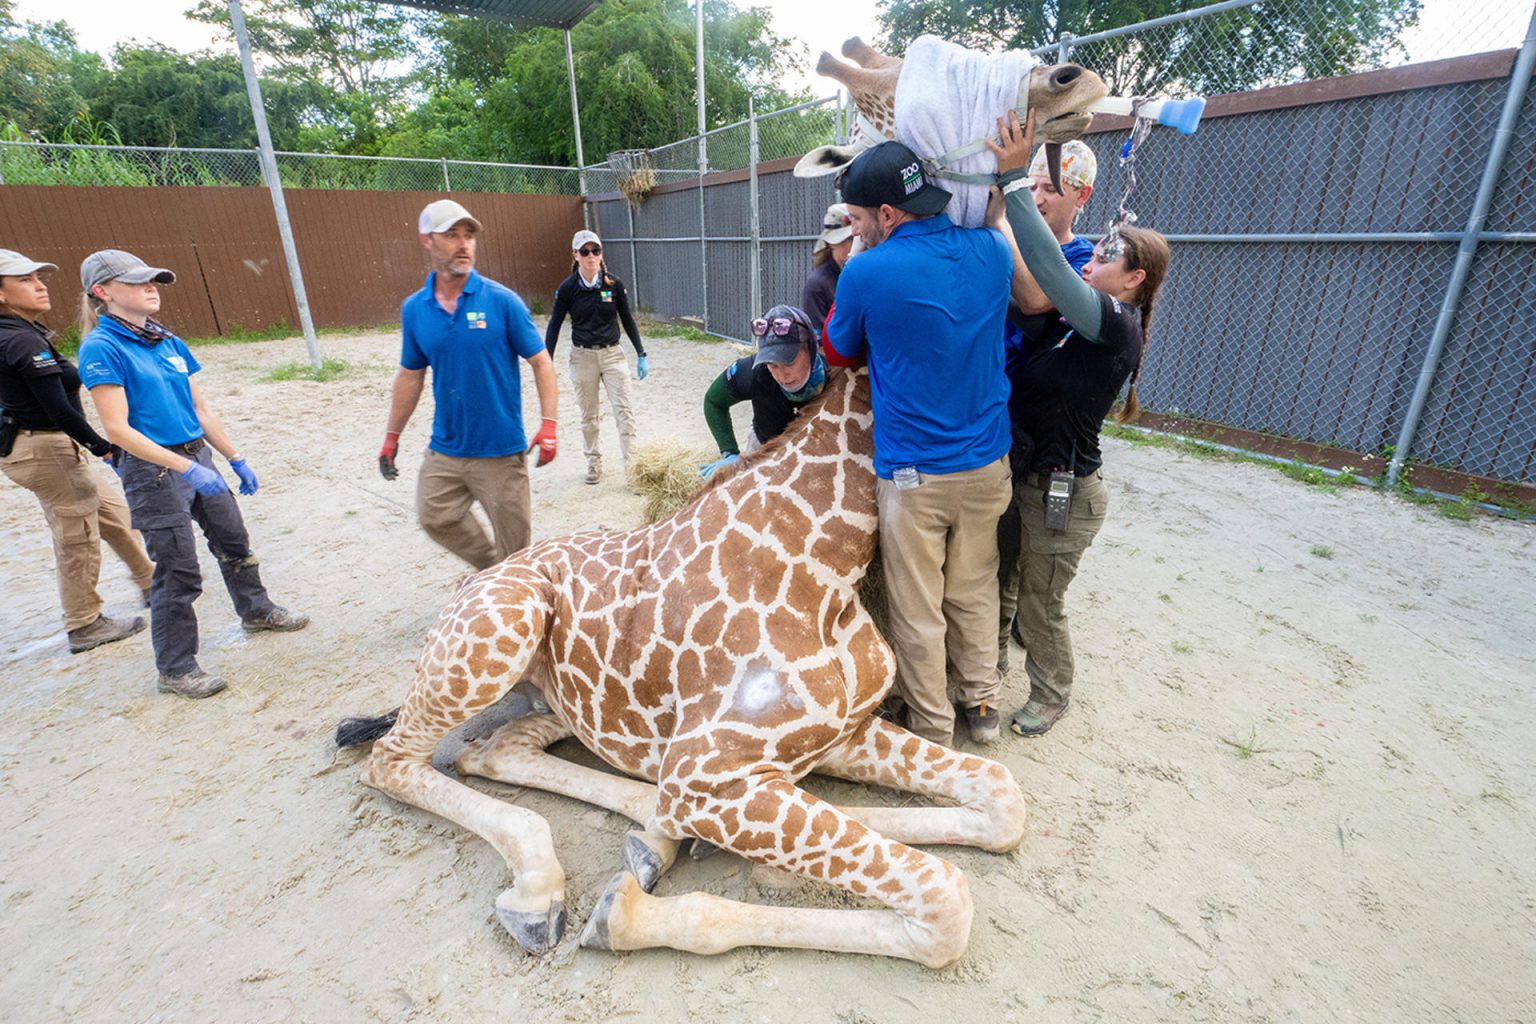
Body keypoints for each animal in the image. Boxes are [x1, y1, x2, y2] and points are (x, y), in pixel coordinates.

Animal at [342, 368, 1026, 970]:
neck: (826, 569)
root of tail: (472, 580)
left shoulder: (837, 733)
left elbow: (1002, 797)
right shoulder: (707, 775)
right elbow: (944, 898)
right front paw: (622, 917)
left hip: (570, 698)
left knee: (496, 747)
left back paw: (651, 837)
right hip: (502, 626)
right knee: (392, 758)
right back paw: (542, 893)